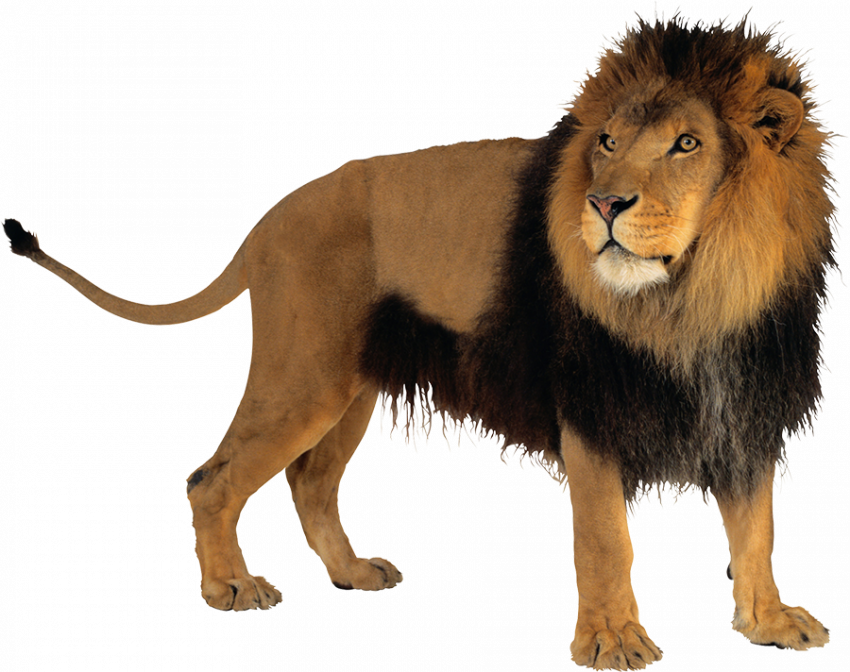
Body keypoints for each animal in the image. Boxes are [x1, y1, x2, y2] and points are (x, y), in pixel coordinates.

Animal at [2, 16, 835, 671]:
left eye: (687, 143)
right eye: (606, 141)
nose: (604, 204)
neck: (697, 295)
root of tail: (268, 223)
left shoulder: (744, 409)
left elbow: (755, 530)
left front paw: (768, 621)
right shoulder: (590, 411)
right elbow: (606, 540)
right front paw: (611, 642)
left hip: (347, 388)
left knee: (310, 481)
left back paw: (350, 573)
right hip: (303, 376)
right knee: (214, 478)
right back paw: (229, 587)